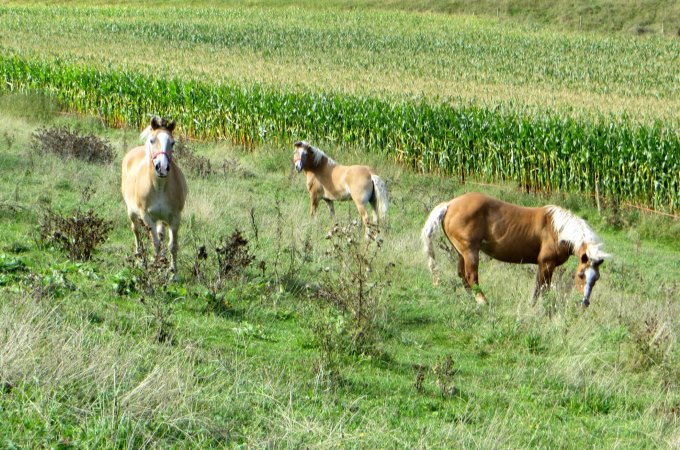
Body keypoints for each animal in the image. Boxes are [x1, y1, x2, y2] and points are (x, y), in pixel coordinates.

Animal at [121, 116, 187, 278]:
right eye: (152, 140)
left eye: (172, 142)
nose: (162, 167)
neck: (159, 187)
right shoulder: (146, 216)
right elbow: (155, 243)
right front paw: (156, 268)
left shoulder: (175, 217)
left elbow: (172, 245)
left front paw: (173, 274)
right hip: (132, 213)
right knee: (136, 230)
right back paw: (140, 257)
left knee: (161, 234)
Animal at [422, 192, 608, 308]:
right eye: (581, 275)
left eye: (596, 278)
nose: (584, 303)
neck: (557, 229)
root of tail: (449, 205)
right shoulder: (547, 264)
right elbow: (543, 288)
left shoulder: (543, 265)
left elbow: (538, 287)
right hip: (470, 252)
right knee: (471, 277)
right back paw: (483, 302)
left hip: (461, 252)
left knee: (462, 276)